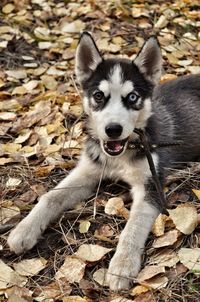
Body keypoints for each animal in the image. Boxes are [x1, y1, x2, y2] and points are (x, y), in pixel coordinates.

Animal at [7, 31, 200, 292]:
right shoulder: (88, 170)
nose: (113, 129)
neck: (119, 157)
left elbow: (134, 225)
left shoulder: (151, 185)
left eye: (132, 97)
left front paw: (122, 266)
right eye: (99, 96)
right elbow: (50, 197)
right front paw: (24, 229)